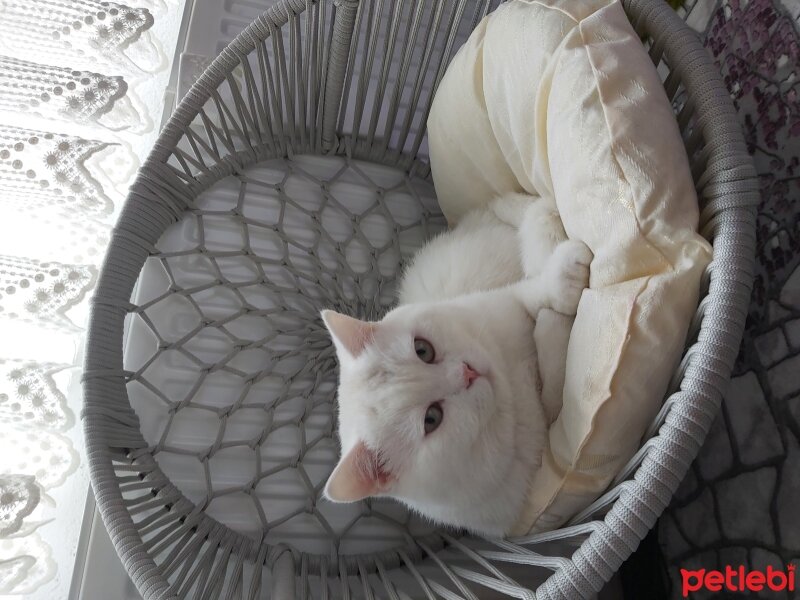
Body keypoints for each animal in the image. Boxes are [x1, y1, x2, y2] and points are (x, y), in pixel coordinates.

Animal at [322, 195, 592, 536]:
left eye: (423, 349)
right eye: (431, 419)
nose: (467, 372)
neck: (509, 389)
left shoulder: (505, 300)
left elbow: (535, 292)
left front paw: (566, 277)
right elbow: (554, 382)